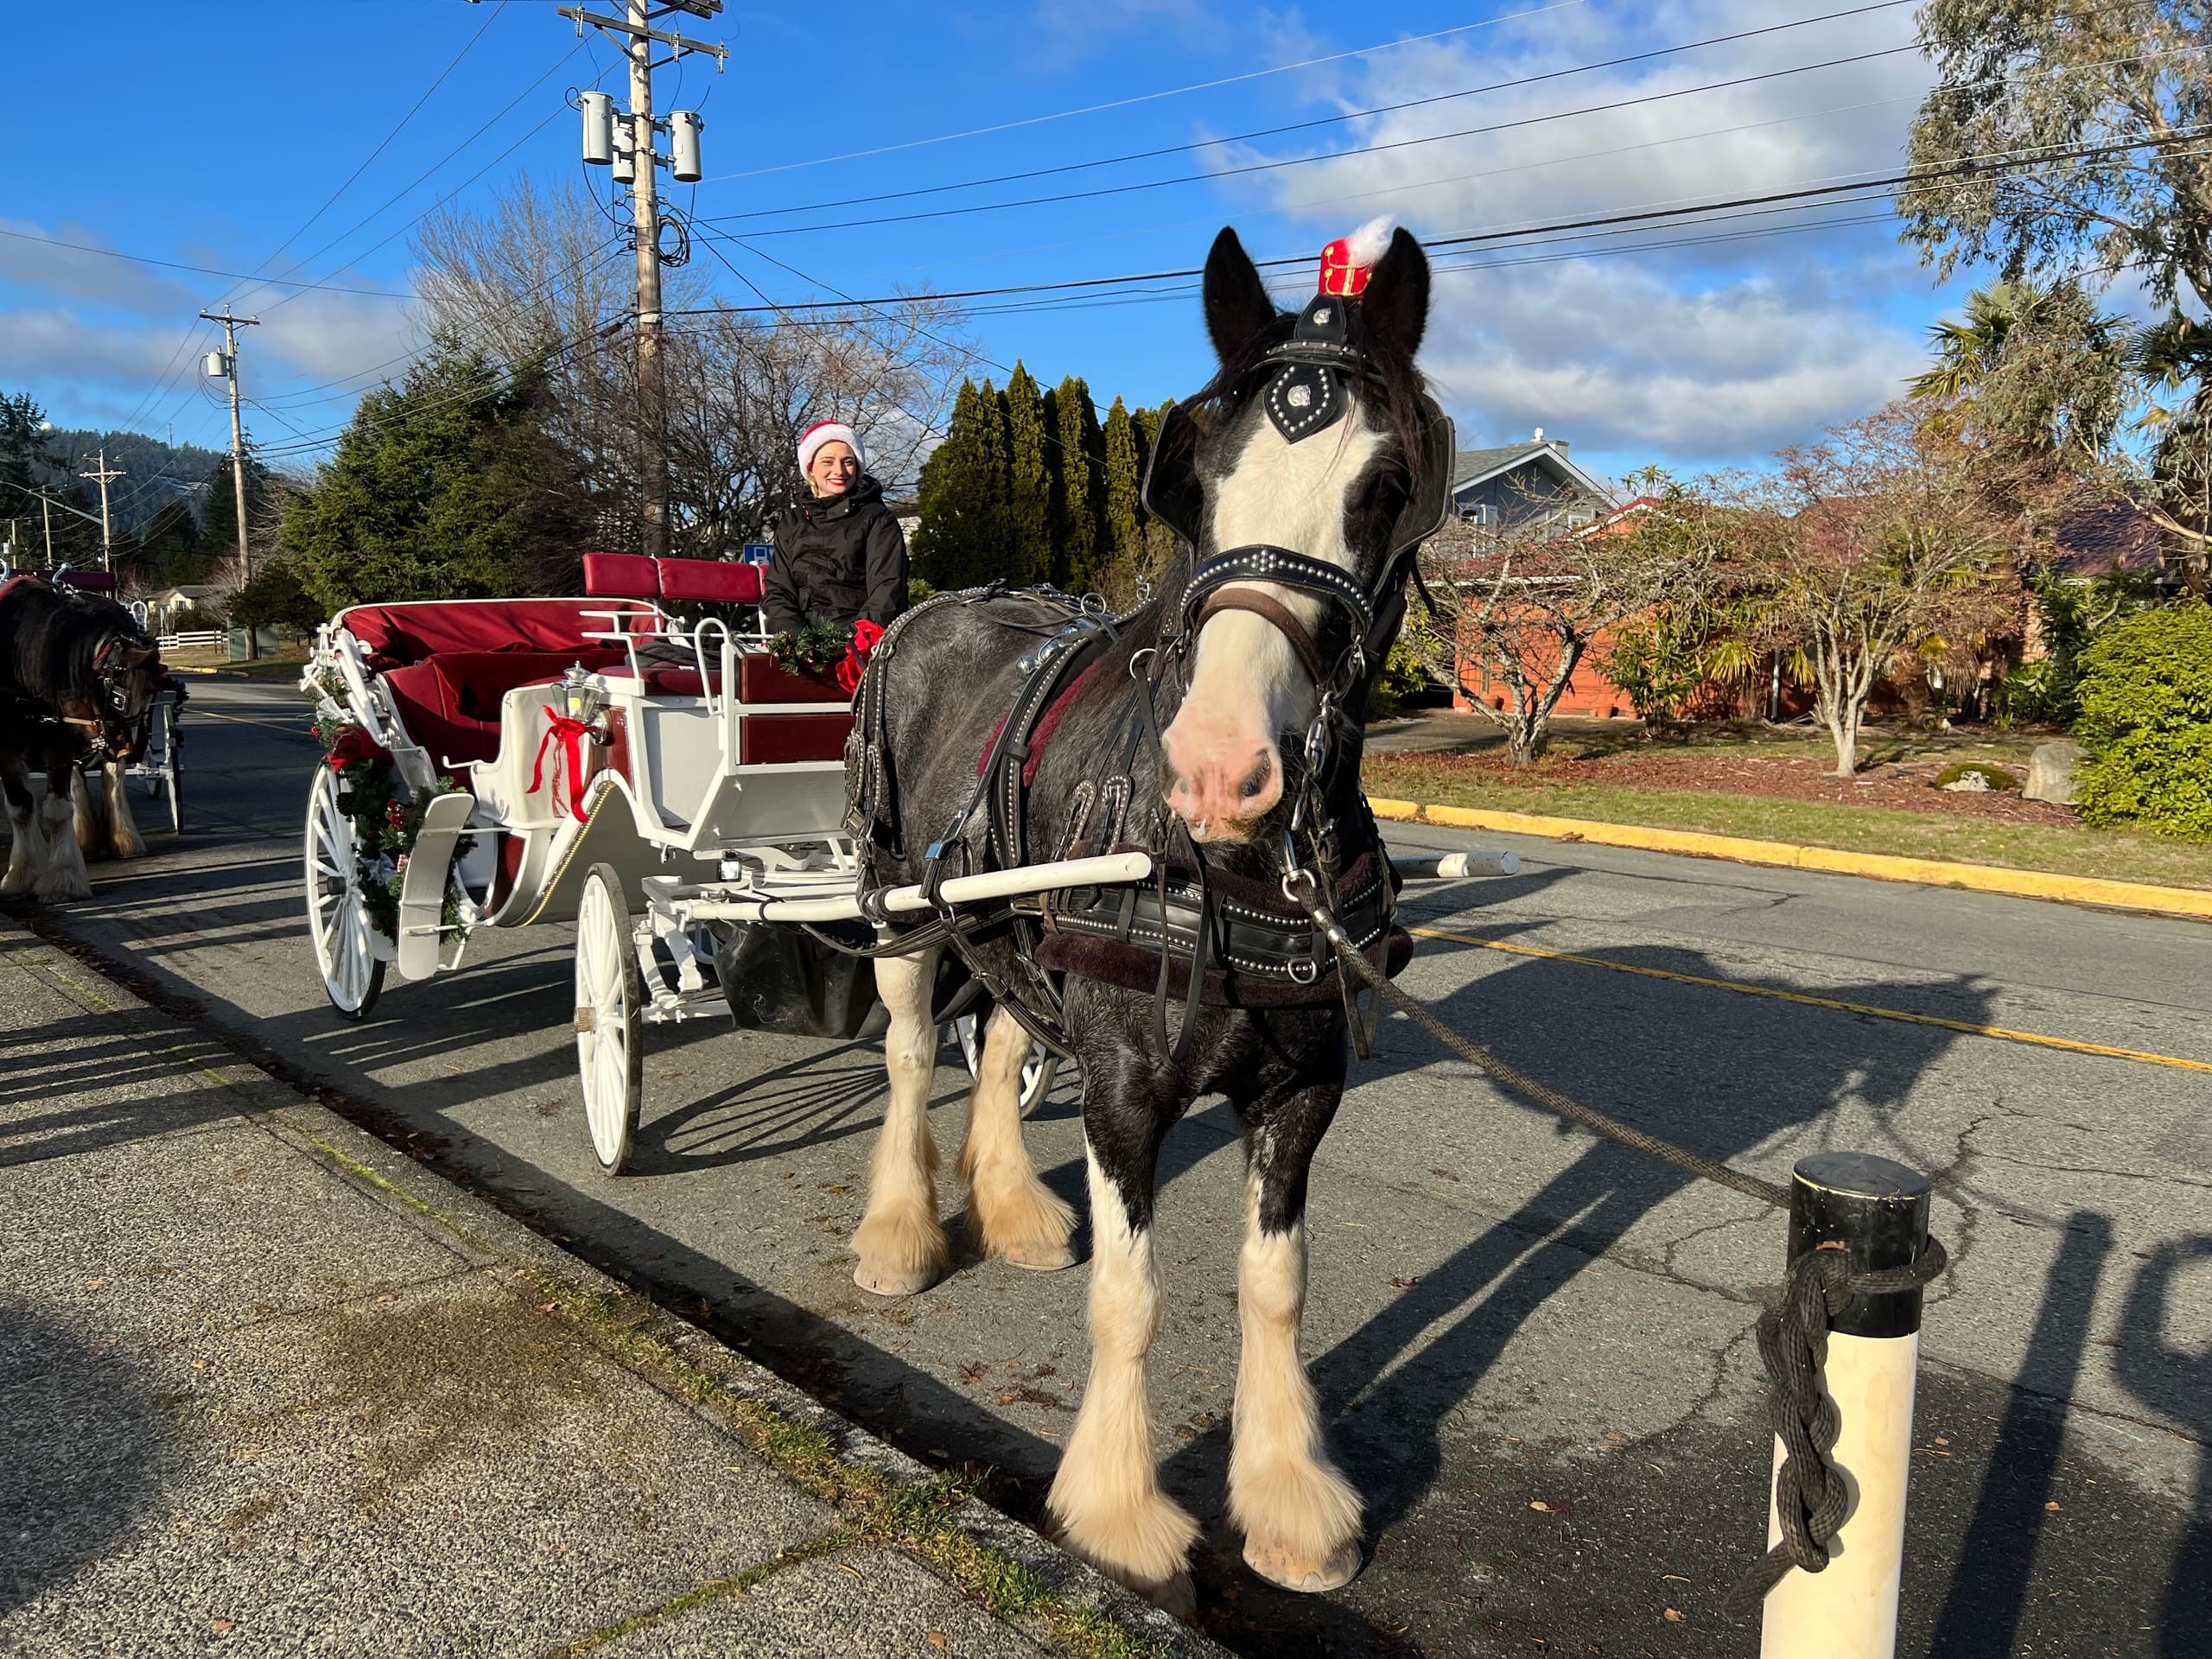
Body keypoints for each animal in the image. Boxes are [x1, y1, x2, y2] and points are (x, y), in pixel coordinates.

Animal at [0, 577, 164, 899]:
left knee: (113, 783)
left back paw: (124, 838)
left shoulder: (60, 740)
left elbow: (56, 810)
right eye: (119, 696)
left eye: (150, 695)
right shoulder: (5, 748)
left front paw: (63, 878)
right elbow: (20, 807)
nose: (128, 750)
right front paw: (21, 874)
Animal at [841, 223, 1451, 1611]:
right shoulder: (1125, 1091)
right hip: (902, 908)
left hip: (1014, 925)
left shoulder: (1303, 1085)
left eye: (1388, 484)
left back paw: (1011, 1211)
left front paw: (1287, 1499)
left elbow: (1273, 1287)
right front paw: (1119, 1510)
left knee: (1002, 1038)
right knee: (908, 1056)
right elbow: (1134, 1300)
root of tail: (940, 605)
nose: (1221, 769)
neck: (1236, 870)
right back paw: (902, 1230)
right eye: (1200, 484)